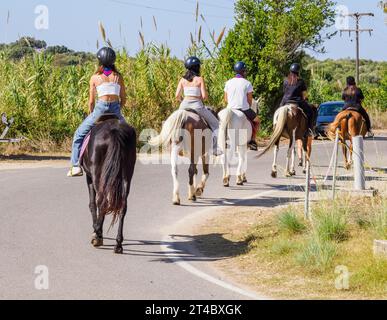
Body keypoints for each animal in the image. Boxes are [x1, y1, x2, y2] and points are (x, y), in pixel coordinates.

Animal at [81, 114, 136, 252]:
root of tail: (115, 131)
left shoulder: (89, 178)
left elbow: (92, 204)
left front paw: (97, 231)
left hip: (97, 174)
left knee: (101, 201)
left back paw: (97, 236)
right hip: (127, 173)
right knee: (123, 206)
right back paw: (118, 244)